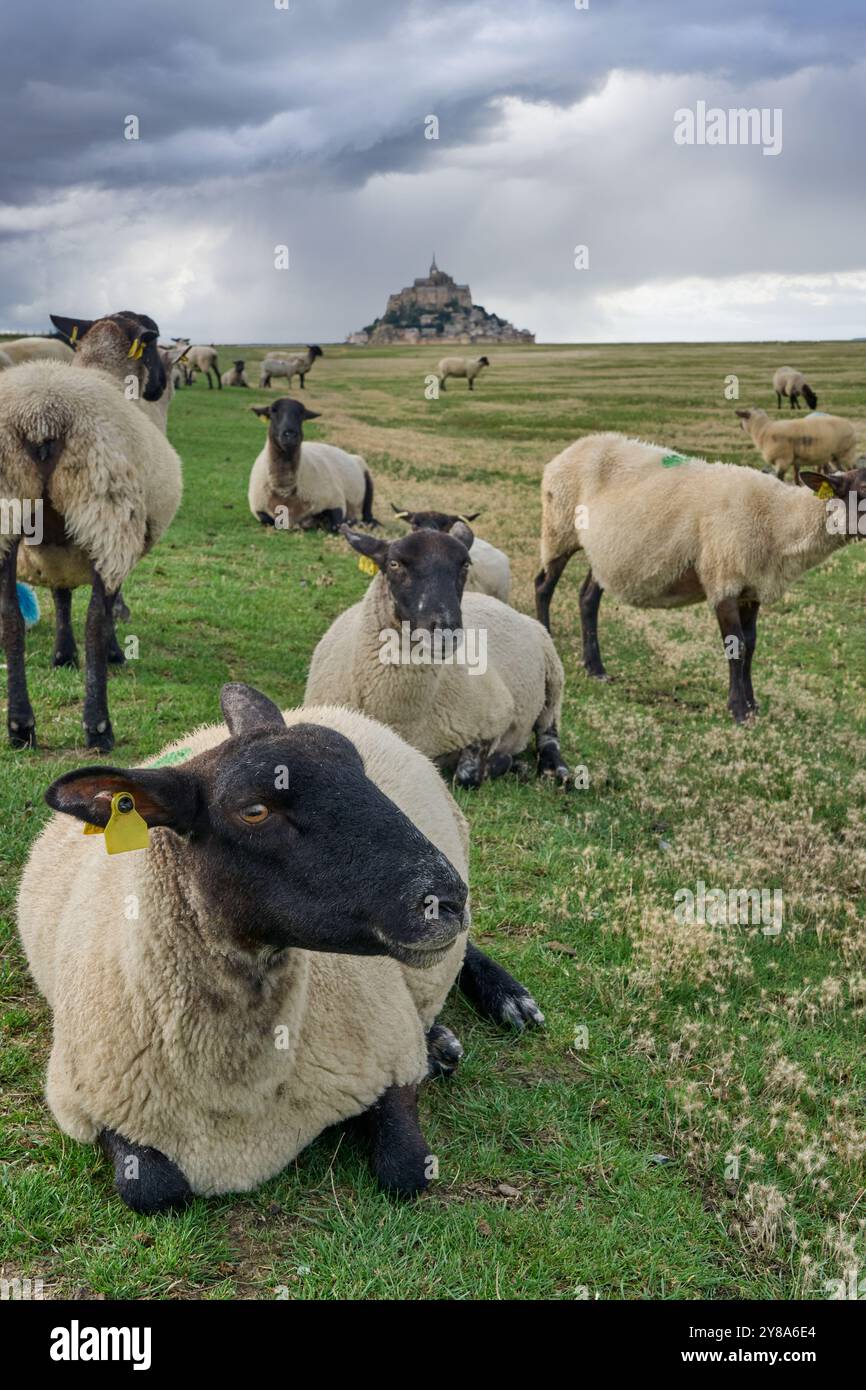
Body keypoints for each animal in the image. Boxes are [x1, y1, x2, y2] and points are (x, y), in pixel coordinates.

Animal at [0, 311, 183, 756]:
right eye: (154, 346)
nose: (156, 387)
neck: (107, 369)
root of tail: (40, 415)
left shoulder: (55, 550)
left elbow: (60, 595)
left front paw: (62, 655)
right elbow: (107, 605)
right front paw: (113, 652)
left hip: (10, 501)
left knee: (10, 614)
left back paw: (20, 725)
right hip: (107, 509)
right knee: (95, 619)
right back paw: (98, 726)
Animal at [246, 403, 378, 536]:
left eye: (302, 414)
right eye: (273, 411)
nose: (290, 434)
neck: (285, 493)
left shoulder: (335, 500)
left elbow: (336, 524)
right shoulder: (259, 508)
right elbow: (268, 521)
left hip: (367, 480)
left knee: (368, 516)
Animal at [304, 522, 569, 789]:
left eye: (465, 565)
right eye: (394, 564)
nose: (446, 631)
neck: (402, 718)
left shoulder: (497, 717)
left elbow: (467, 775)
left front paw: (505, 762)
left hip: (553, 673)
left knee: (549, 732)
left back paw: (555, 769)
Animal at [530, 428, 866, 722]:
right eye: (862, 491)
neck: (777, 518)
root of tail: (571, 449)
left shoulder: (751, 587)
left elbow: (751, 644)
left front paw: (753, 704)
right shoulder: (723, 578)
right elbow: (736, 646)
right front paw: (738, 710)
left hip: (606, 552)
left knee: (587, 598)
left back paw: (595, 668)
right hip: (559, 527)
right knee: (544, 585)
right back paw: (548, 640)